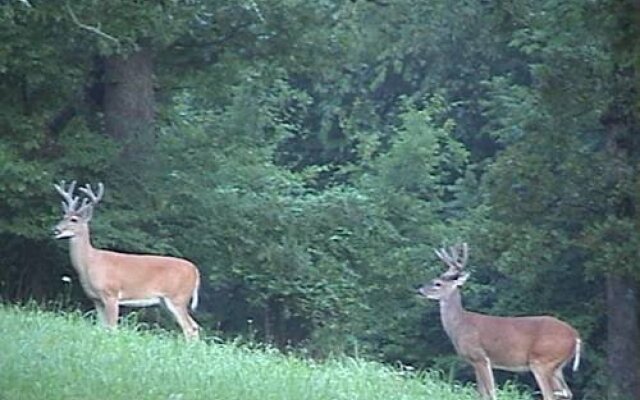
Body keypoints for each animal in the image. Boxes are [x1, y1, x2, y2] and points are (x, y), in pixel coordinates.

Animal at [52, 181, 200, 340]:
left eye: (74, 219)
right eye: (63, 216)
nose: (55, 230)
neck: (90, 262)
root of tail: (196, 271)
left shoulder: (111, 294)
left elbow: (112, 327)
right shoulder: (96, 299)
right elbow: (101, 327)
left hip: (178, 297)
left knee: (189, 328)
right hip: (166, 301)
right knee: (194, 326)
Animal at [418, 242, 584, 398]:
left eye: (437, 283)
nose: (420, 290)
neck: (460, 324)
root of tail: (575, 336)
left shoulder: (480, 357)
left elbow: (490, 392)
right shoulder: (474, 361)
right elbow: (481, 393)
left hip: (542, 360)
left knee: (550, 394)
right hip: (557, 366)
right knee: (566, 392)